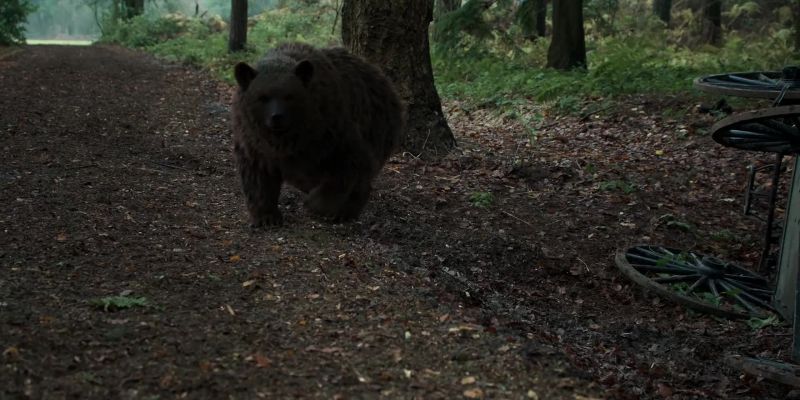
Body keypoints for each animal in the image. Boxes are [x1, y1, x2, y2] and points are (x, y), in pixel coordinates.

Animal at [231, 42, 404, 226]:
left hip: (377, 125)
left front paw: (315, 205)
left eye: (289, 96)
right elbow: (258, 178)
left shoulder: (331, 133)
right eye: (262, 97)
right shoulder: (254, 143)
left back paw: (344, 211)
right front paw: (266, 216)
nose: (277, 117)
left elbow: (347, 168)